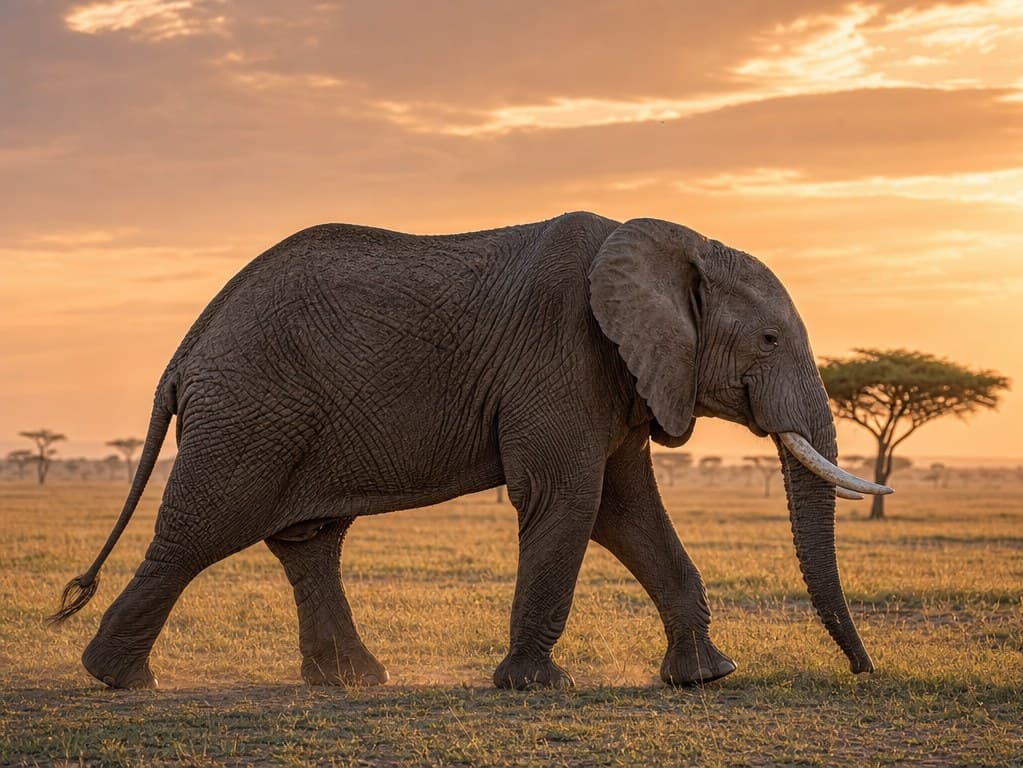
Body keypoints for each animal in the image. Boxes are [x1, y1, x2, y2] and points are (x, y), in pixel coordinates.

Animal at [51, 212, 890, 690]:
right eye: (770, 340)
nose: (862, 671)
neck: (673, 245)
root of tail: (186, 346)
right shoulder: (561, 355)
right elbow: (570, 501)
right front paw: (534, 687)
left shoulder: (626, 374)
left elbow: (625, 512)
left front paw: (705, 679)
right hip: (250, 411)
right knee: (201, 531)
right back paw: (118, 680)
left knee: (306, 541)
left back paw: (352, 683)